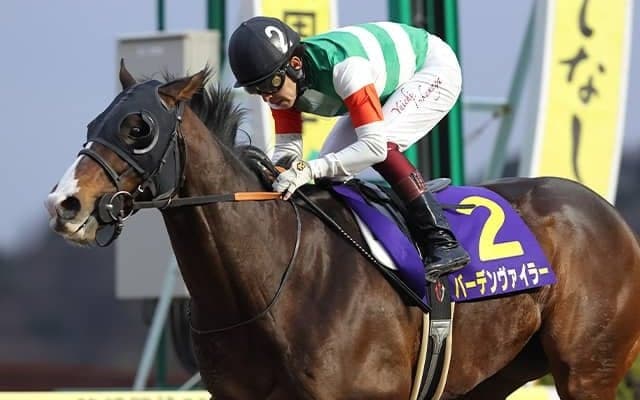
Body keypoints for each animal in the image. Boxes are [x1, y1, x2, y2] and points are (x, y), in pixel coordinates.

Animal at [46, 63, 640, 399]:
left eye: (138, 128)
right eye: (93, 124)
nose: (63, 203)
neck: (271, 285)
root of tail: (606, 211)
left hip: (588, 370)